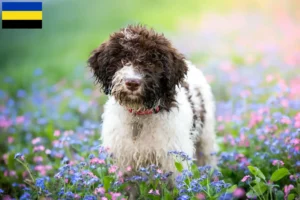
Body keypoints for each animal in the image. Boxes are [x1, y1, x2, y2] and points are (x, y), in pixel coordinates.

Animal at [88, 25, 217, 177]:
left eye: (151, 62)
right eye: (122, 60)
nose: (132, 83)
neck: (139, 115)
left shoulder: (173, 158)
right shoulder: (123, 161)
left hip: (206, 138)